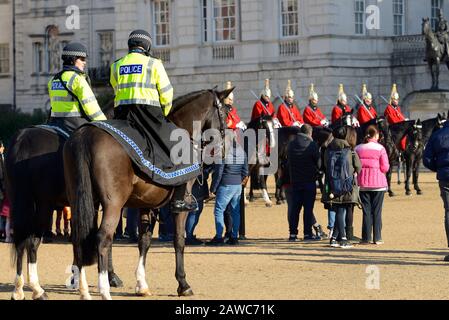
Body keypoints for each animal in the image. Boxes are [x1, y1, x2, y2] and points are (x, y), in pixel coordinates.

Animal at [4, 100, 119, 300]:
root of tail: (23, 139)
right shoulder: (98, 203)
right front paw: (107, 276)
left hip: (22, 203)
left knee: (21, 241)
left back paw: (19, 289)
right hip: (43, 206)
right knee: (32, 242)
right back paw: (37, 289)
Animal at [64, 88, 231, 300]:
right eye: (225, 113)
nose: (224, 150)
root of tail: (86, 134)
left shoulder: (146, 204)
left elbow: (144, 240)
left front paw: (141, 284)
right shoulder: (181, 206)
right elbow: (179, 239)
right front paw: (183, 283)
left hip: (85, 202)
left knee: (81, 237)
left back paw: (84, 289)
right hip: (113, 205)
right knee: (103, 238)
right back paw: (104, 290)